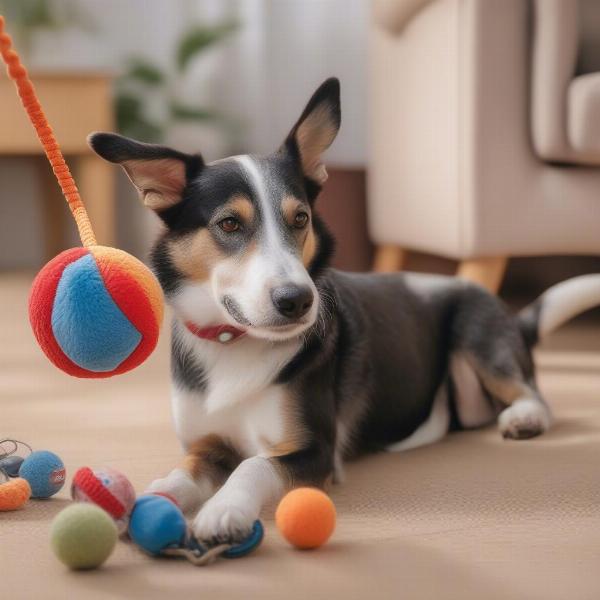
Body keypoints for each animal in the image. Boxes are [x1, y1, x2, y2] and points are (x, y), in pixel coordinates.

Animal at [88, 77, 600, 540]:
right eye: (229, 224)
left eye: (300, 218)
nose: (297, 300)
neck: (235, 345)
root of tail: (509, 316)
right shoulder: (206, 445)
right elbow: (182, 474)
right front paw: (144, 500)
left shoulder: (314, 450)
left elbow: (253, 466)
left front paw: (223, 510)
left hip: (477, 332)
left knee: (532, 391)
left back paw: (524, 418)